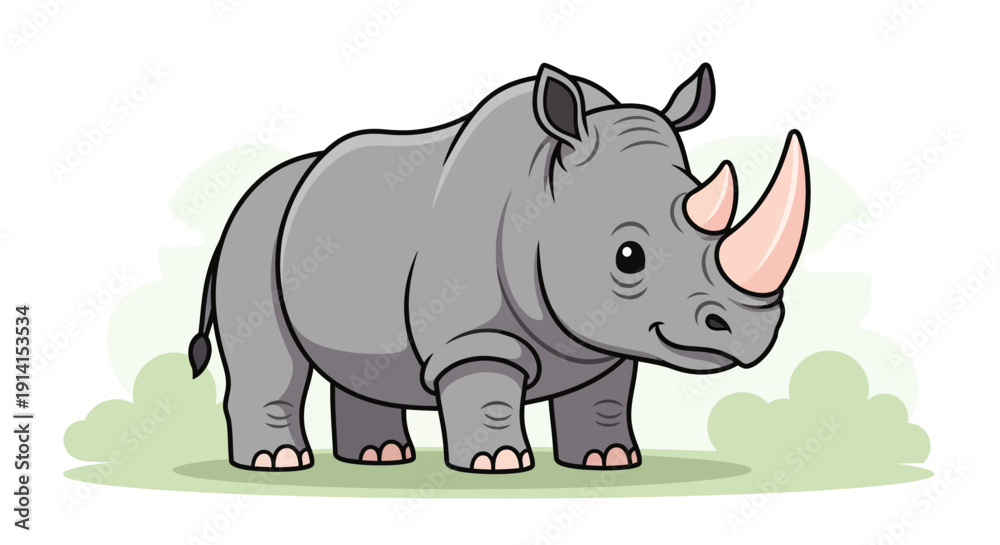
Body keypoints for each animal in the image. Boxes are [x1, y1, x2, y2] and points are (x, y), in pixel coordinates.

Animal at [188, 63, 810, 472]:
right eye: (628, 256)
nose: (752, 331)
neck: (547, 195)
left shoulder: (606, 341)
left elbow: (604, 397)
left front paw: (608, 460)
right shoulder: (471, 335)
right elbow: (487, 384)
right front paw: (499, 462)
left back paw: (379, 457)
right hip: (253, 231)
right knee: (269, 356)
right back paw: (277, 463)